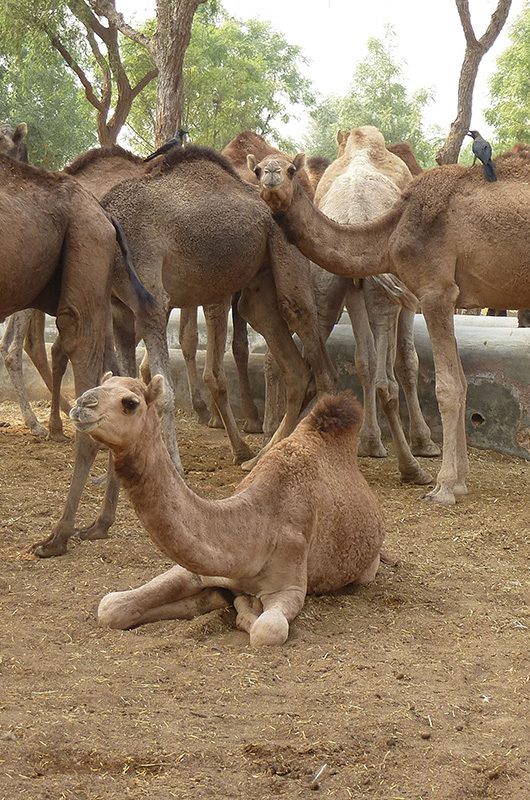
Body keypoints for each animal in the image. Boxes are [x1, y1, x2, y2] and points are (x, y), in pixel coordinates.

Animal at [252, 138, 528, 504]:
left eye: (291, 169)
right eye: (258, 169)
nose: (271, 175)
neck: (392, 229)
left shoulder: (435, 291)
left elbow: (447, 387)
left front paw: (443, 486)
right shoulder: (443, 296)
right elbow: (461, 381)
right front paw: (459, 481)